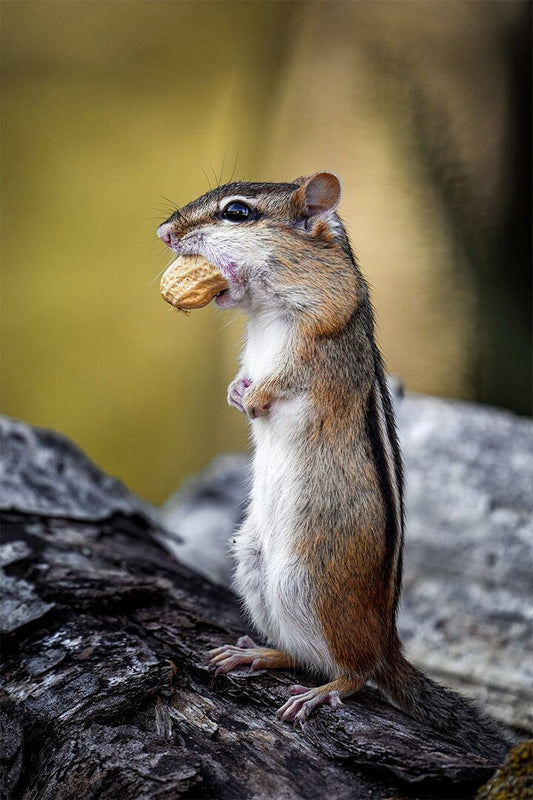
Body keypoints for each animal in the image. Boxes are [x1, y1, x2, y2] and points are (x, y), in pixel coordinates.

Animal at [157, 172, 510, 760]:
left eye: (237, 212)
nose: (164, 232)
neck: (266, 313)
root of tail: (388, 640)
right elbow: (243, 377)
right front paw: (236, 392)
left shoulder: (321, 338)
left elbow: (287, 379)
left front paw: (255, 398)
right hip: (253, 563)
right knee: (306, 656)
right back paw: (257, 654)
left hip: (311, 580)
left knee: (354, 672)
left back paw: (323, 693)